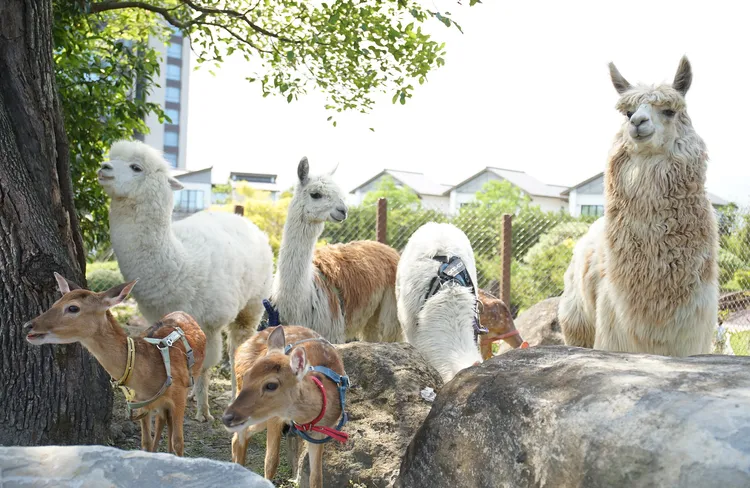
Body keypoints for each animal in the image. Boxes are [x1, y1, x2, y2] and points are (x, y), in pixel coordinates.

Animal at [23, 273, 206, 456]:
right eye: (55, 303)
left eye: (73, 308)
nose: (28, 325)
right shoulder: (140, 401)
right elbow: (146, 442)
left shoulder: (179, 393)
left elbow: (179, 442)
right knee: (162, 420)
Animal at [222, 325, 349, 488]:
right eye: (247, 376)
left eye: (271, 385)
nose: (226, 417)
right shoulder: (275, 418)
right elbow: (271, 462)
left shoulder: (319, 432)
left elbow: (316, 477)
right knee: (240, 437)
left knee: (239, 436)